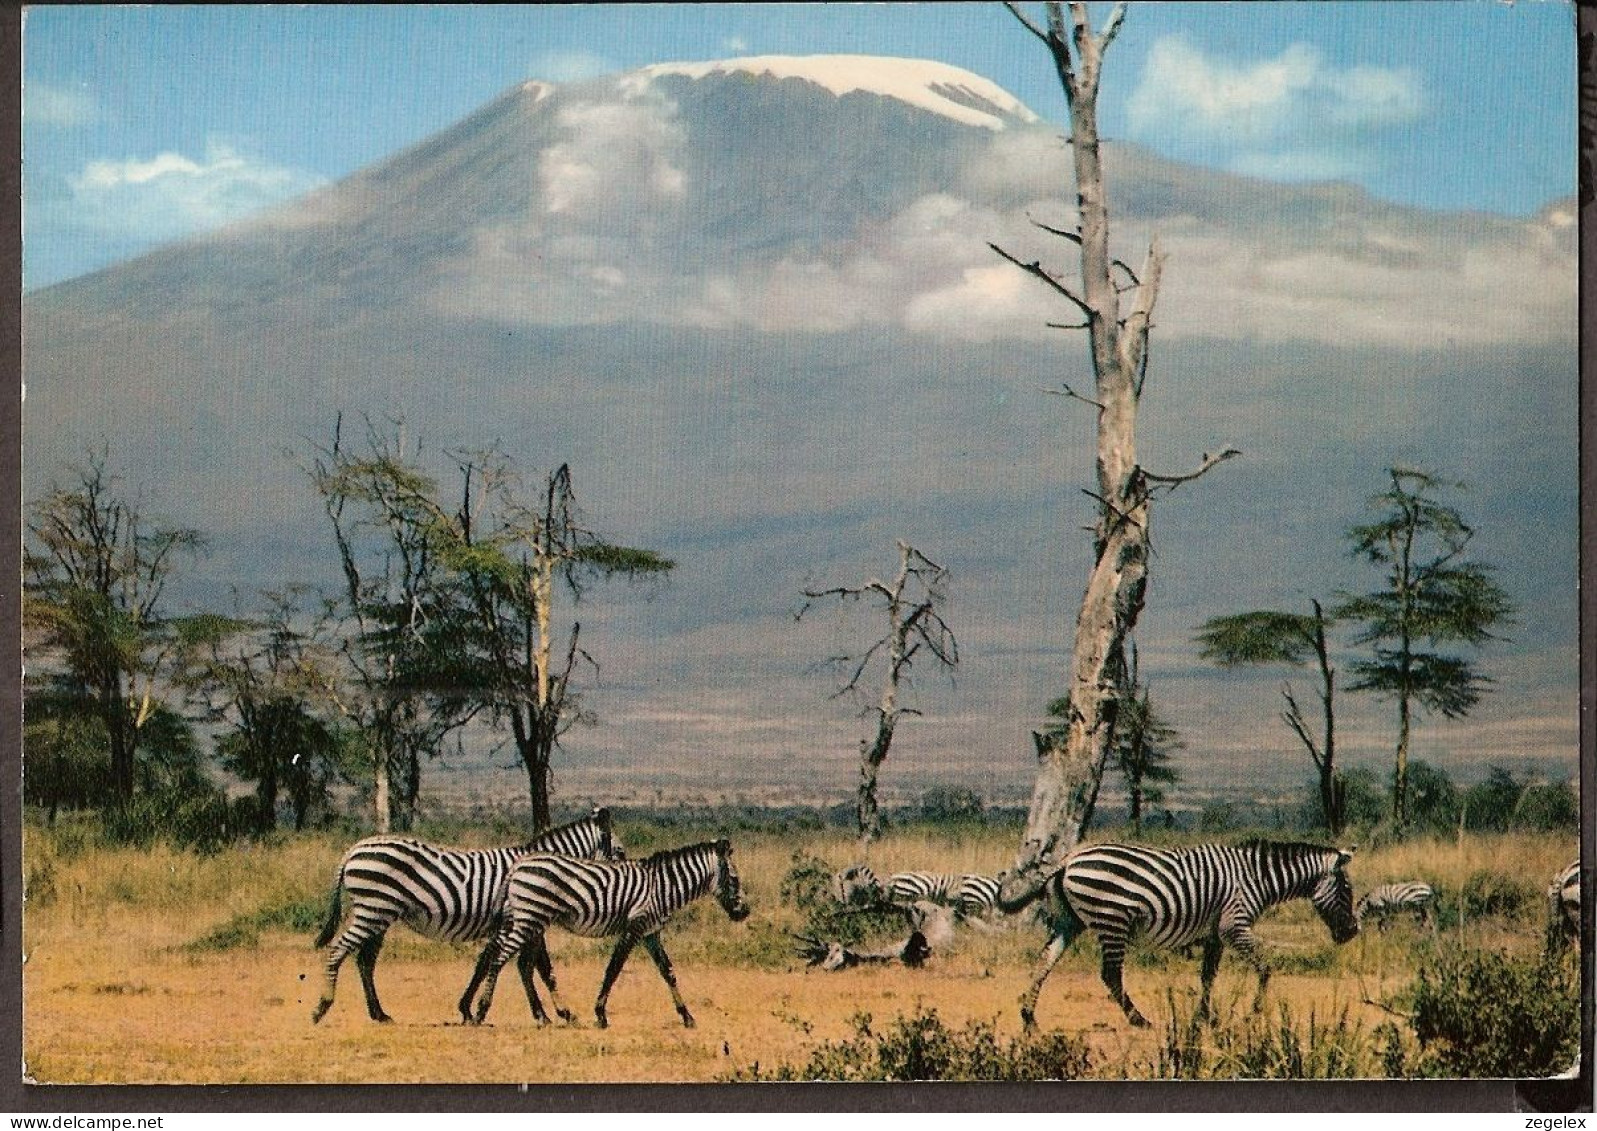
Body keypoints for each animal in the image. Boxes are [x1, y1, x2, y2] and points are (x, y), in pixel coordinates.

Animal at [309, 805, 616, 1022]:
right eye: (620, 851)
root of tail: (353, 849)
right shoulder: (521, 921)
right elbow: (539, 967)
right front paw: (559, 1013)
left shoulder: (512, 924)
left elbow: (489, 963)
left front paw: (467, 1009)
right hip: (372, 910)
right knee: (340, 950)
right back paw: (322, 1006)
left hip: (379, 914)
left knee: (365, 960)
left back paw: (379, 1014)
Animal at [466, 837, 750, 1028]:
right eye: (735, 880)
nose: (745, 912)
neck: (662, 886)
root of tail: (519, 864)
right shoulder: (635, 927)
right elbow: (614, 969)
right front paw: (600, 1014)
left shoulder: (651, 933)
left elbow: (668, 972)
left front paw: (687, 1015)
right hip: (529, 916)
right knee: (500, 958)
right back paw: (481, 1011)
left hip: (532, 919)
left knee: (523, 964)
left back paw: (543, 1017)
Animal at [1002, 837, 1354, 1028]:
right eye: (1347, 890)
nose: (1351, 933)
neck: (1259, 879)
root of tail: (1067, 860)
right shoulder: (1233, 925)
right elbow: (1265, 967)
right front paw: (1253, 1014)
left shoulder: (1215, 934)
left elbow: (1208, 975)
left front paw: (1204, 1018)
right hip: (1112, 919)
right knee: (1110, 974)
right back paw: (1139, 1020)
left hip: (1070, 922)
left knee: (1045, 960)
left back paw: (1028, 1017)